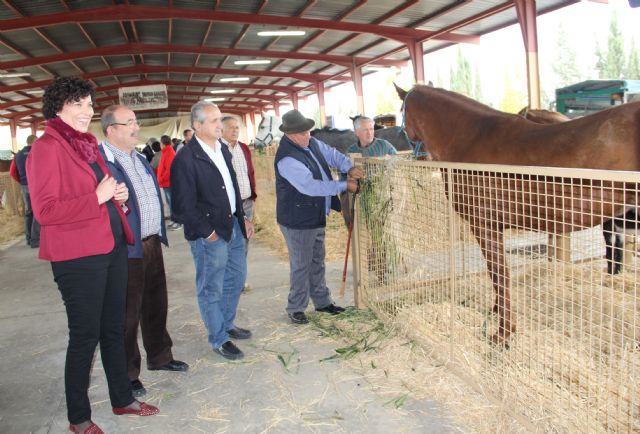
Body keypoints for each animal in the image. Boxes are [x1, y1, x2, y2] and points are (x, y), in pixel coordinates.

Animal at [396, 84, 640, 342]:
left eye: (402, 112)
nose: (420, 157)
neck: (472, 138)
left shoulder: (485, 225)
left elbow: (499, 274)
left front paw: (503, 334)